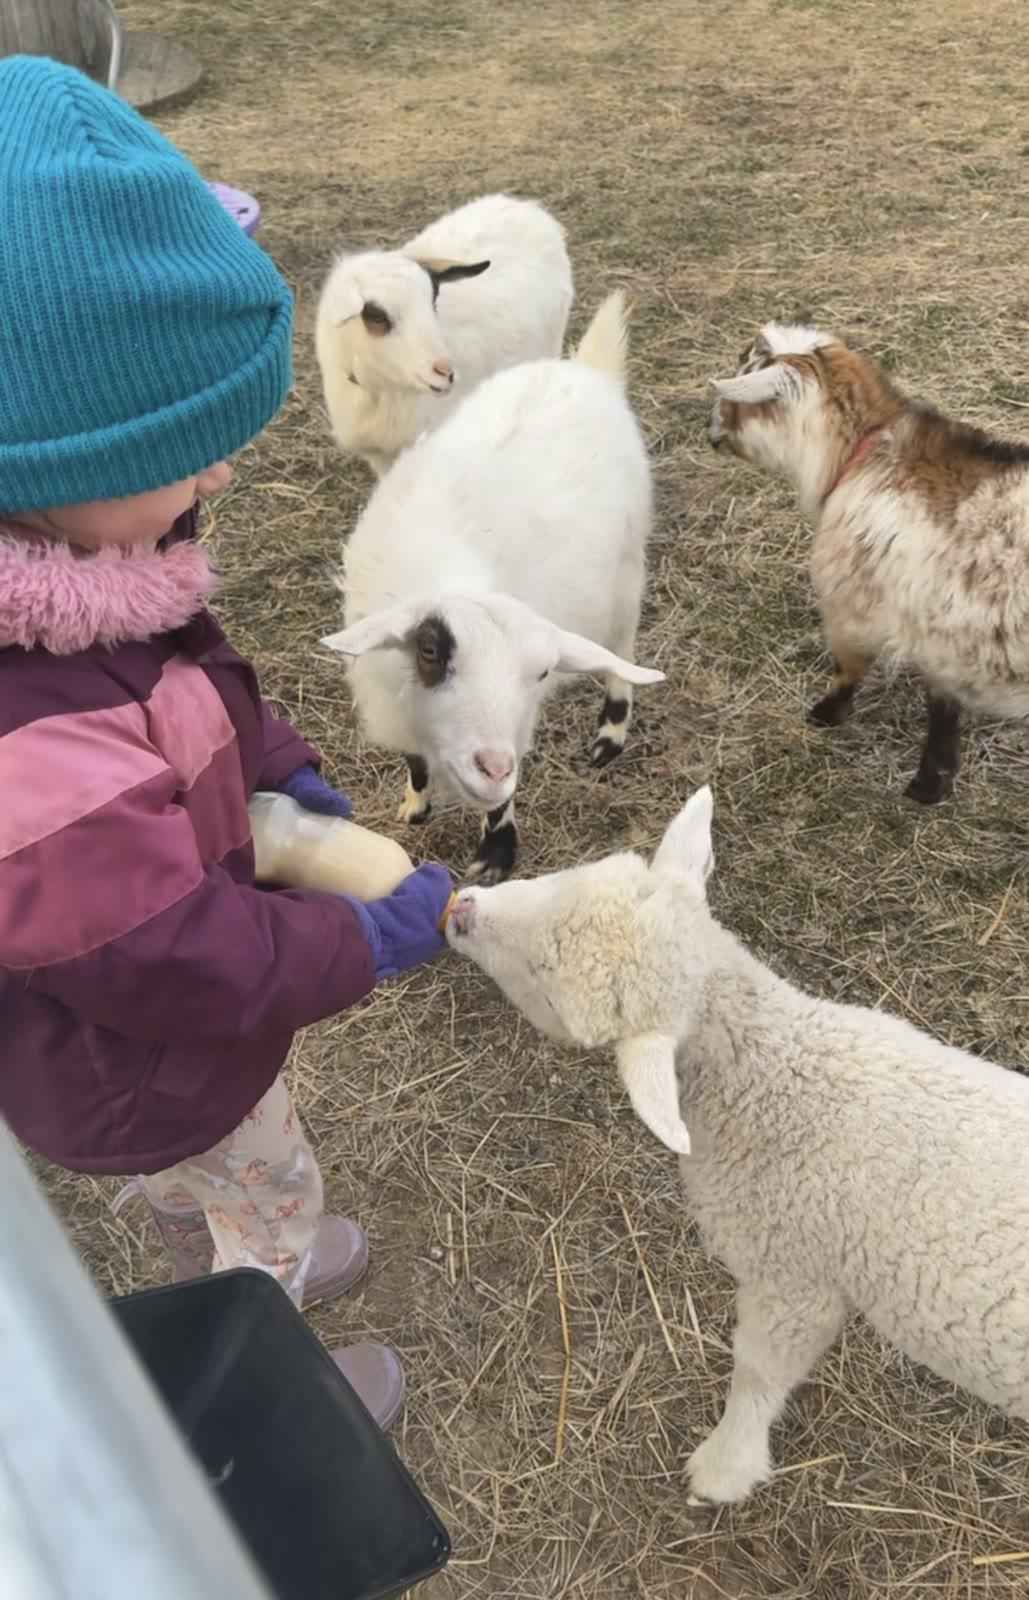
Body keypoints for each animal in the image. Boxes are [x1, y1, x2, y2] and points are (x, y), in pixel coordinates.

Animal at [315, 194, 574, 478]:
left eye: (433, 299)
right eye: (376, 315)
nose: (445, 373)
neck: (380, 394)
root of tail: (529, 208)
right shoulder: (378, 456)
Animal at [320, 292, 663, 883]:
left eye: (543, 671)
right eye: (429, 650)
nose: (494, 768)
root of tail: (584, 369)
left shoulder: (517, 722)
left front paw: (497, 854)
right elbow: (414, 762)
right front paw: (416, 802)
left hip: (627, 562)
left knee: (621, 648)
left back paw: (611, 732)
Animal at [445, 786, 1029, 1504]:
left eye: (545, 987)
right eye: (564, 876)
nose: (461, 910)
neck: (775, 1078)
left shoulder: (792, 1274)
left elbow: (758, 1368)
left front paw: (724, 1466)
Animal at [708, 323, 1029, 803]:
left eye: (743, 379)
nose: (710, 430)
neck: (862, 454)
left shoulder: (854, 600)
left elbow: (852, 666)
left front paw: (827, 714)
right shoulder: (941, 627)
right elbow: (943, 699)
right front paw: (934, 780)